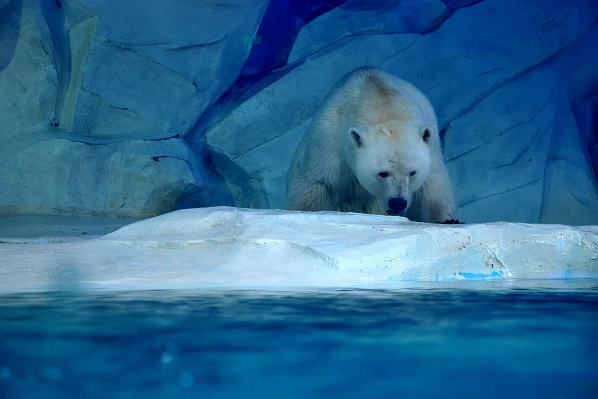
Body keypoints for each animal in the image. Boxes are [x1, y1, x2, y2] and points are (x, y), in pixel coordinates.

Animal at [288, 67, 458, 223]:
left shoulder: (431, 148)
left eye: (412, 172)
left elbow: (434, 189)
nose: (397, 202)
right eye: (382, 173)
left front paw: (447, 220)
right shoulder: (328, 142)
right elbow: (314, 184)